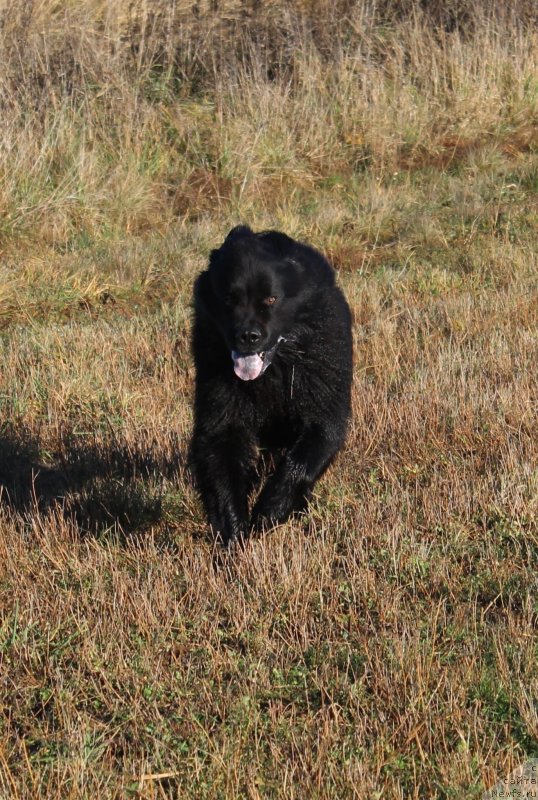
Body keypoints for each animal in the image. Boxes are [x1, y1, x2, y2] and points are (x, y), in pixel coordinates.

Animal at [189, 228, 352, 548]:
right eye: (228, 299)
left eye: (271, 299)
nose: (247, 336)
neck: (274, 369)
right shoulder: (220, 413)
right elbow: (221, 463)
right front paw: (235, 533)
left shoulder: (325, 407)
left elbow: (303, 460)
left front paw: (269, 511)